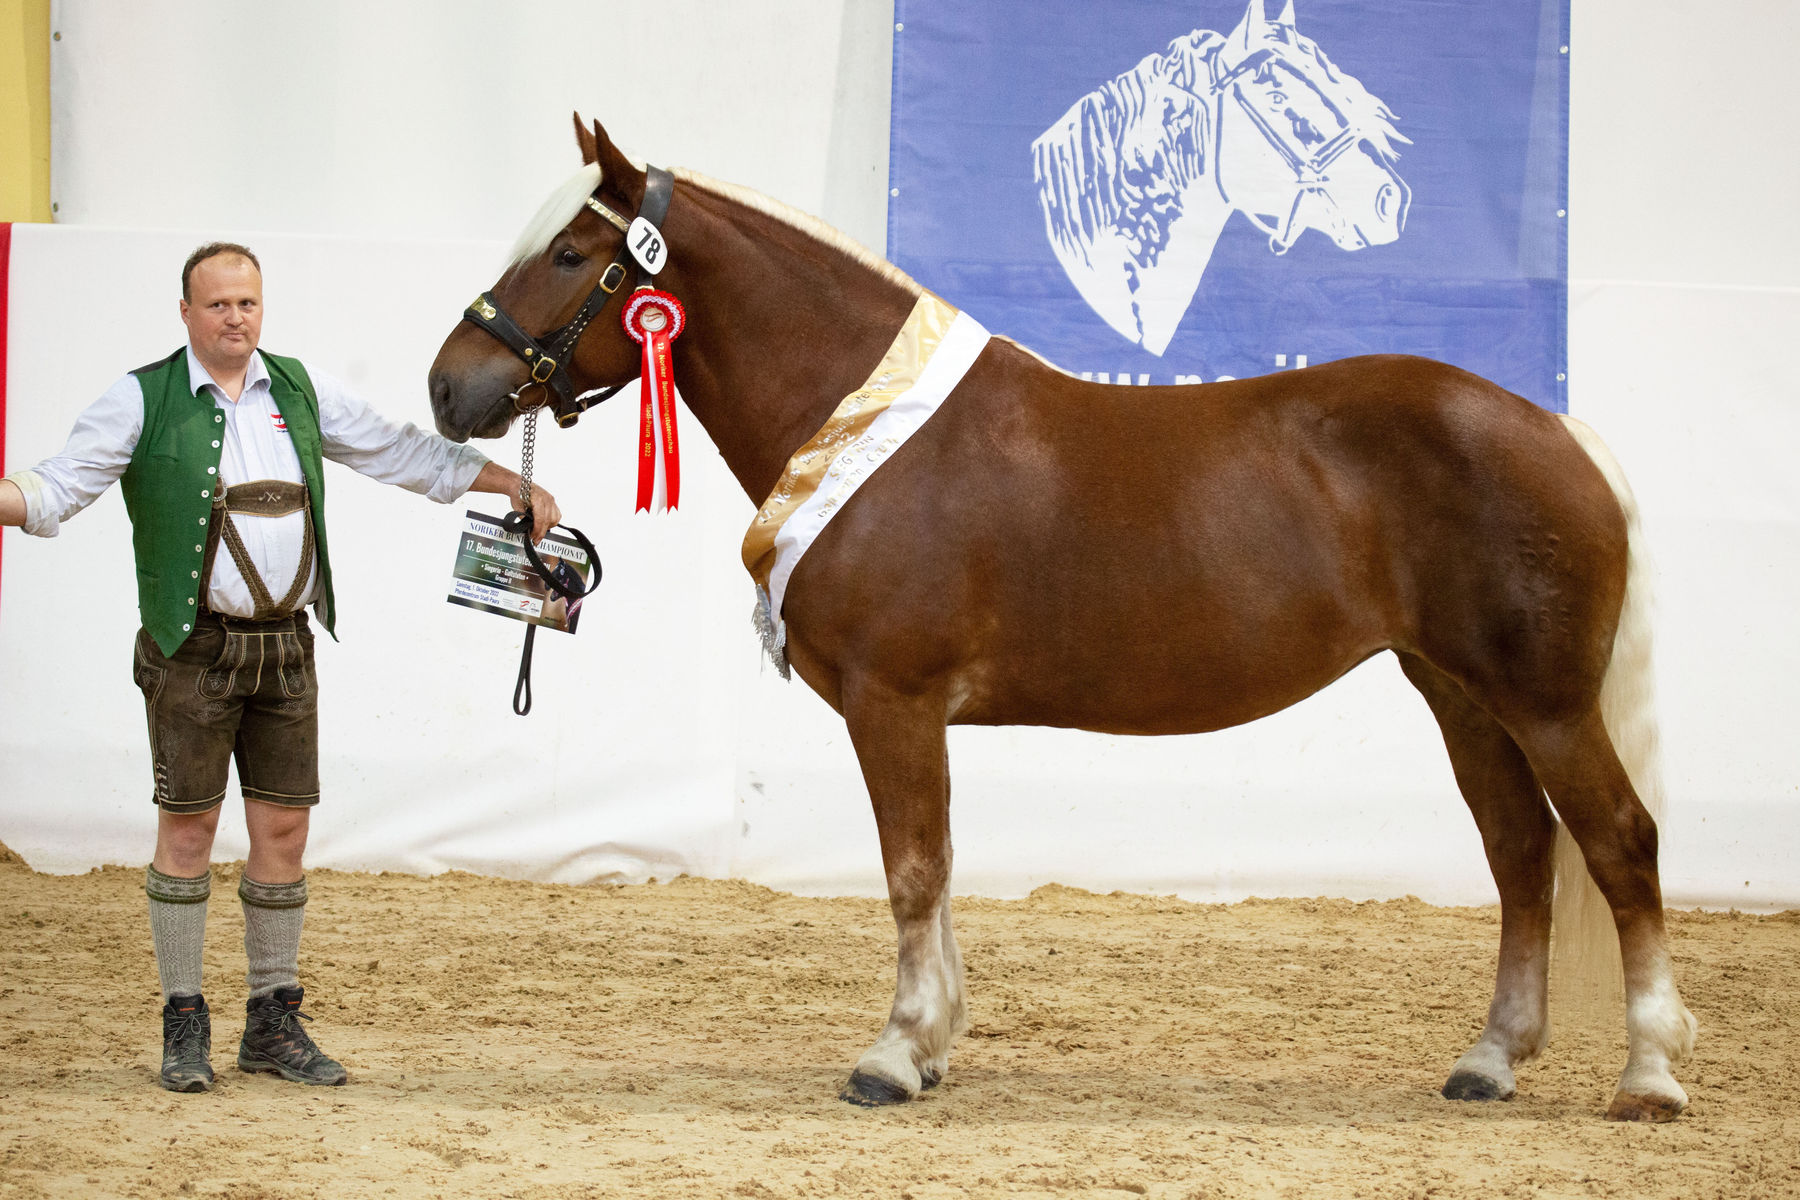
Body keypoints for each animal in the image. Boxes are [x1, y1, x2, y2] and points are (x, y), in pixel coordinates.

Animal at [428, 116, 1692, 1122]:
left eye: (572, 253)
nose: (449, 387)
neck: (869, 425)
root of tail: (1555, 427)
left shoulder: (893, 701)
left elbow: (912, 868)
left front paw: (894, 1055)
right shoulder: (915, 716)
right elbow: (933, 866)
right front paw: (935, 1044)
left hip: (1545, 701)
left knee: (1620, 845)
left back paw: (1649, 1077)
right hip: (1461, 693)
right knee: (1521, 853)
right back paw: (1491, 1060)